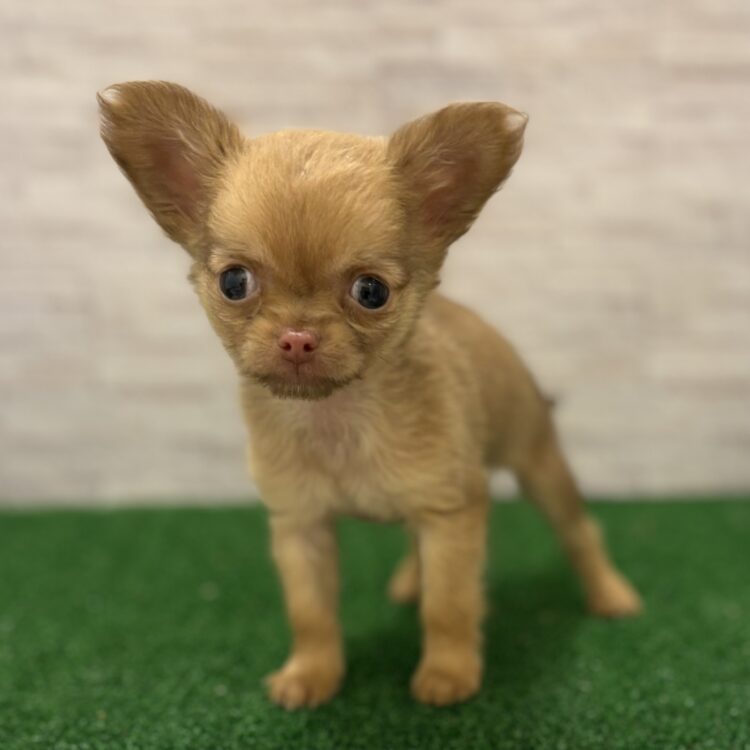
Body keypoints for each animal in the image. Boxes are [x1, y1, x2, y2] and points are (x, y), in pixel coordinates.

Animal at [98, 82, 642, 709]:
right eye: (234, 282)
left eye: (371, 292)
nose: (297, 336)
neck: (338, 417)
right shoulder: (301, 524)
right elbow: (311, 613)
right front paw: (311, 675)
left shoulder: (451, 514)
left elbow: (449, 604)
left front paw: (448, 674)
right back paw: (409, 580)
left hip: (536, 459)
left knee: (578, 530)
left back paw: (609, 594)